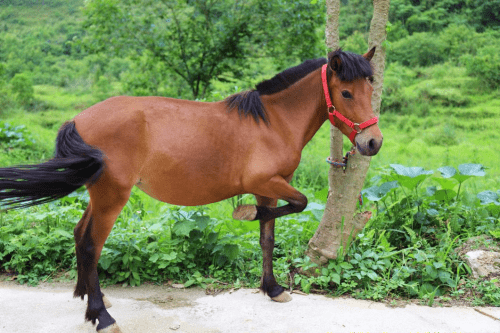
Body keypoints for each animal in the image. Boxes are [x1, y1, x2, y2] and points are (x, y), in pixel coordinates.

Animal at [0, 48, 380, 330]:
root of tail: (78, 119)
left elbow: (267, 237)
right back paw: (102, 317)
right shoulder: (266, 183)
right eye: (346, 92)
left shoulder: (270, 188)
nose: (372, 142)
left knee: (80, 234)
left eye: (370, 91)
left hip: (100, 194)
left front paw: (272, 288)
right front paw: (247, 214)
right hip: (112, 196)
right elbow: (297, 204)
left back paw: (89, 299)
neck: (272, 122)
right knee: (92, 245)